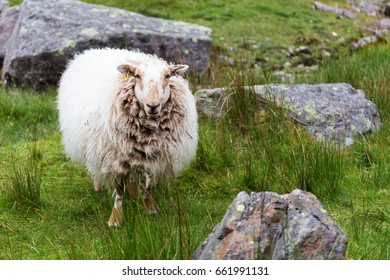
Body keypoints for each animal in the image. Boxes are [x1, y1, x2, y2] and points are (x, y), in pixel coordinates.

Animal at [57, 48, 198, 228]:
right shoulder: (114, 157)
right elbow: (118, 191)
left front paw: (149, 209)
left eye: (167, 76)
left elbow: (148, 185)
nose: (153, 106)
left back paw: (133, 193)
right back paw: (99, 186)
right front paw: (115, 219)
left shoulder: (154, 156)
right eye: (137, 76)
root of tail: (93, 51)